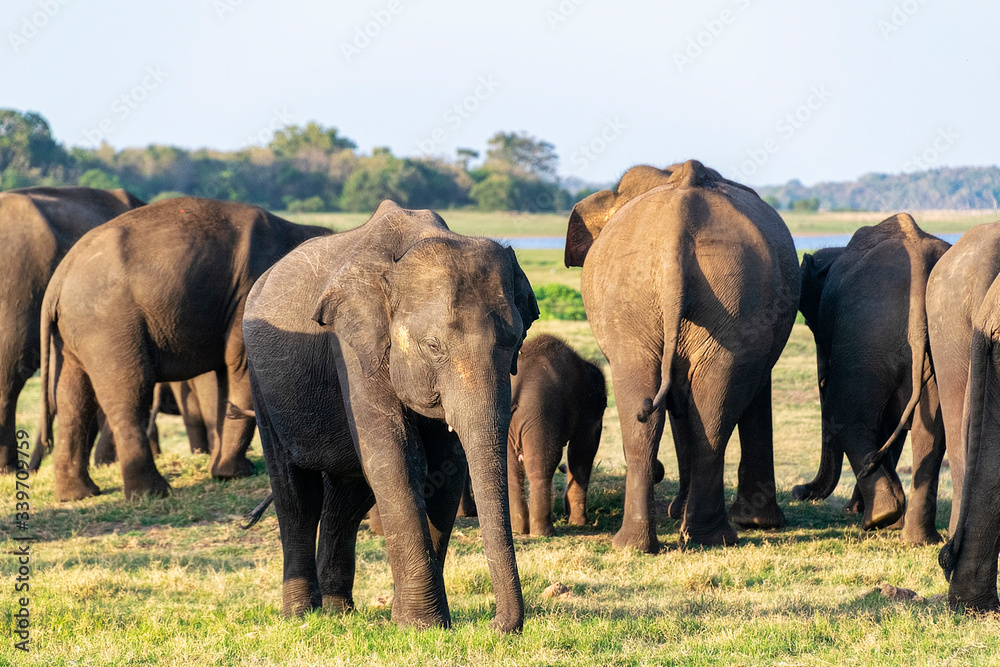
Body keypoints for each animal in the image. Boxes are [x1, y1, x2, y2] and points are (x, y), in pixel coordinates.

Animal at [39, 197, 330, 501]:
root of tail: (58, 281)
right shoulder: (250, 300)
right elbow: (240, 367)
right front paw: (233, 474)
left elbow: (223, 378)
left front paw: (224, 470)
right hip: (108, 326)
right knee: (130, 392)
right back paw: (152, 493)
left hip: (72, 334)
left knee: (73, 399)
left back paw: (77, 495)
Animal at [243, 200, 538, 632]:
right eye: (433, 346)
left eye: (516, 342)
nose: (497, 626)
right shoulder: (352, 343)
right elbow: (395, 458)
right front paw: (422, 625)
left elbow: (444, 468)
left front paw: (412, 621)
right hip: (262, 383)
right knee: (297, 494)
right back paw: (302, 615)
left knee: (347, 495)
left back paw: (338, 611)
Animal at [507, 334, 606, 537]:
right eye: (605, 405)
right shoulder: (586, 411)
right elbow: (581, 451)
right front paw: (579, 524)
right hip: (541, 413)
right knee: (543, 464)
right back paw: (543, 532)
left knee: (512, 469)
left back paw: (519, 529)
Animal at [564, 160, 799, 550]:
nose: (662, 473)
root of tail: (678, 228)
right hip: (690, 299)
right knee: (688, 410)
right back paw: (691, 538)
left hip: (701, 299)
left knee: (662, 407)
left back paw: (664, 540)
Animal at [792, 214, 951, 543]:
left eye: (812, 322)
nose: (797, 492)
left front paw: (856, 511)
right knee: (931, 435)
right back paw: (917, 538)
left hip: (866, 339)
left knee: (843, 414)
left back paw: (880, 517)